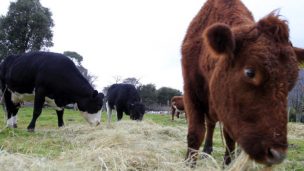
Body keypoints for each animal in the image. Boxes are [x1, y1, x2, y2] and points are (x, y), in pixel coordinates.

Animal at [180, 0, 304, 166]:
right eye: (250, 72)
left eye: (293, 81)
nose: (277, 154)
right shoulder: (190, 92)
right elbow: (195, 134)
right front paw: (188, 164)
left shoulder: (228, 111)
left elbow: (229, 141)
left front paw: (227, 164)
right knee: (210, 125)